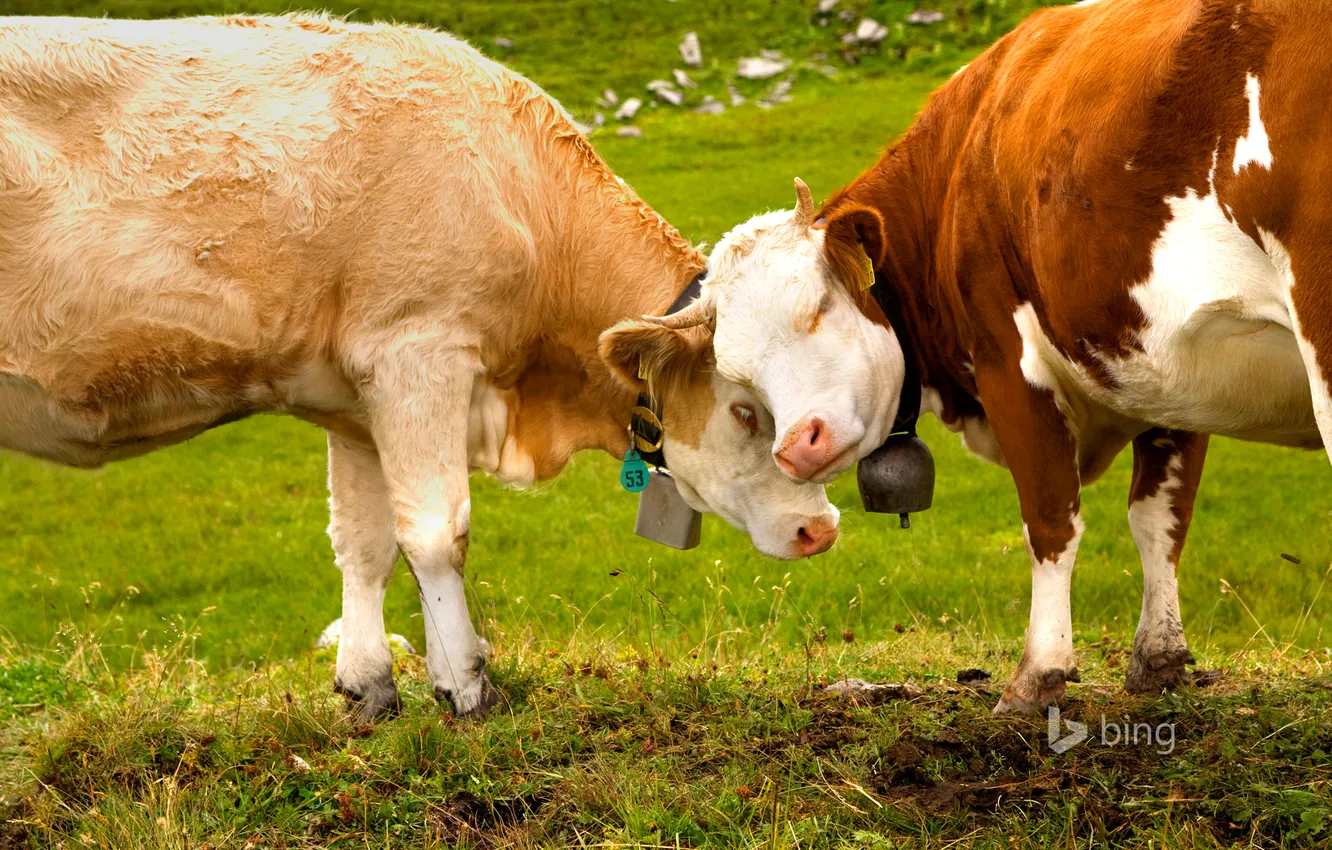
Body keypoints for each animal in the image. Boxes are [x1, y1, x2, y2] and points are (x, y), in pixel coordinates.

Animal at [0, 14, 840, 721]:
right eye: (743, 410)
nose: (821, 529)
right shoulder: (416, 349)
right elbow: (438, 530)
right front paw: (466, 684)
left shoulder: (351, 400)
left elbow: (366, 541)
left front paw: (370, 684)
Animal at [647, 0, 1331, 713]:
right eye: (738, 374)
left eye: (818, 307)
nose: (797, 449)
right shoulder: (1167, 376)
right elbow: (1160, 519)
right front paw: (1158, 659)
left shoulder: (1010, 362)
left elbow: (1051, 518)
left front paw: (1037, 676)